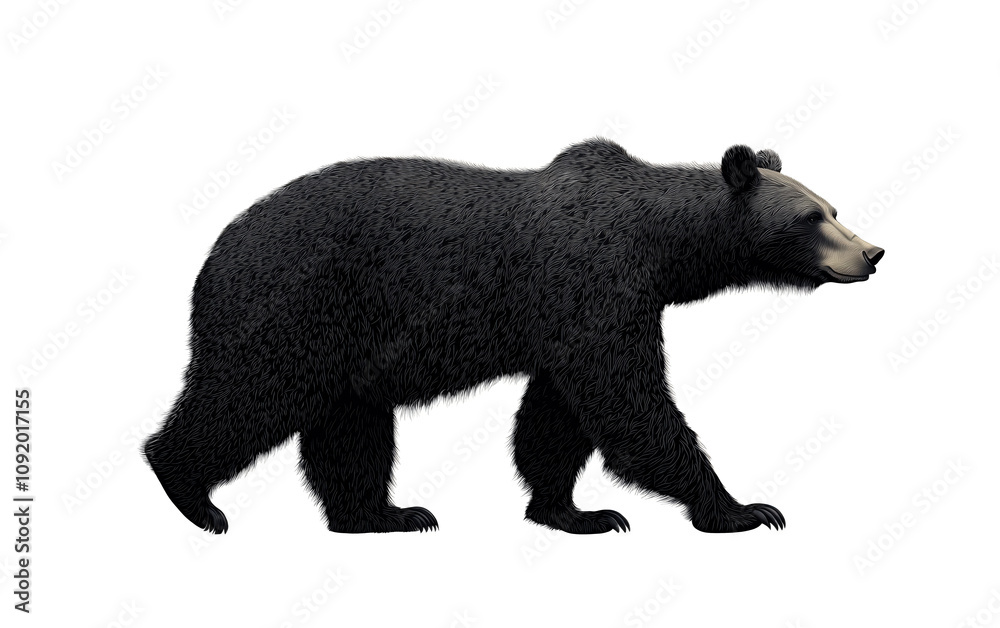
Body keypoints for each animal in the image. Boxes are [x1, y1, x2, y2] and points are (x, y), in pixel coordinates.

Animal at [142, 139, 884, 535]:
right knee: (248, 397)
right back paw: (192, 495)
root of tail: (213, 254)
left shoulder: (575, 317)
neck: (660, 245)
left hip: (348, 340)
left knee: (350, 426)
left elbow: (556, 417)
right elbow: (629, 406)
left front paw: (577, 512)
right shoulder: (594, 285)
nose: (872, 253)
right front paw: (743, 507)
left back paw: (385, 514)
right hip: (294, 307)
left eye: (834, 208)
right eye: (812, 217)